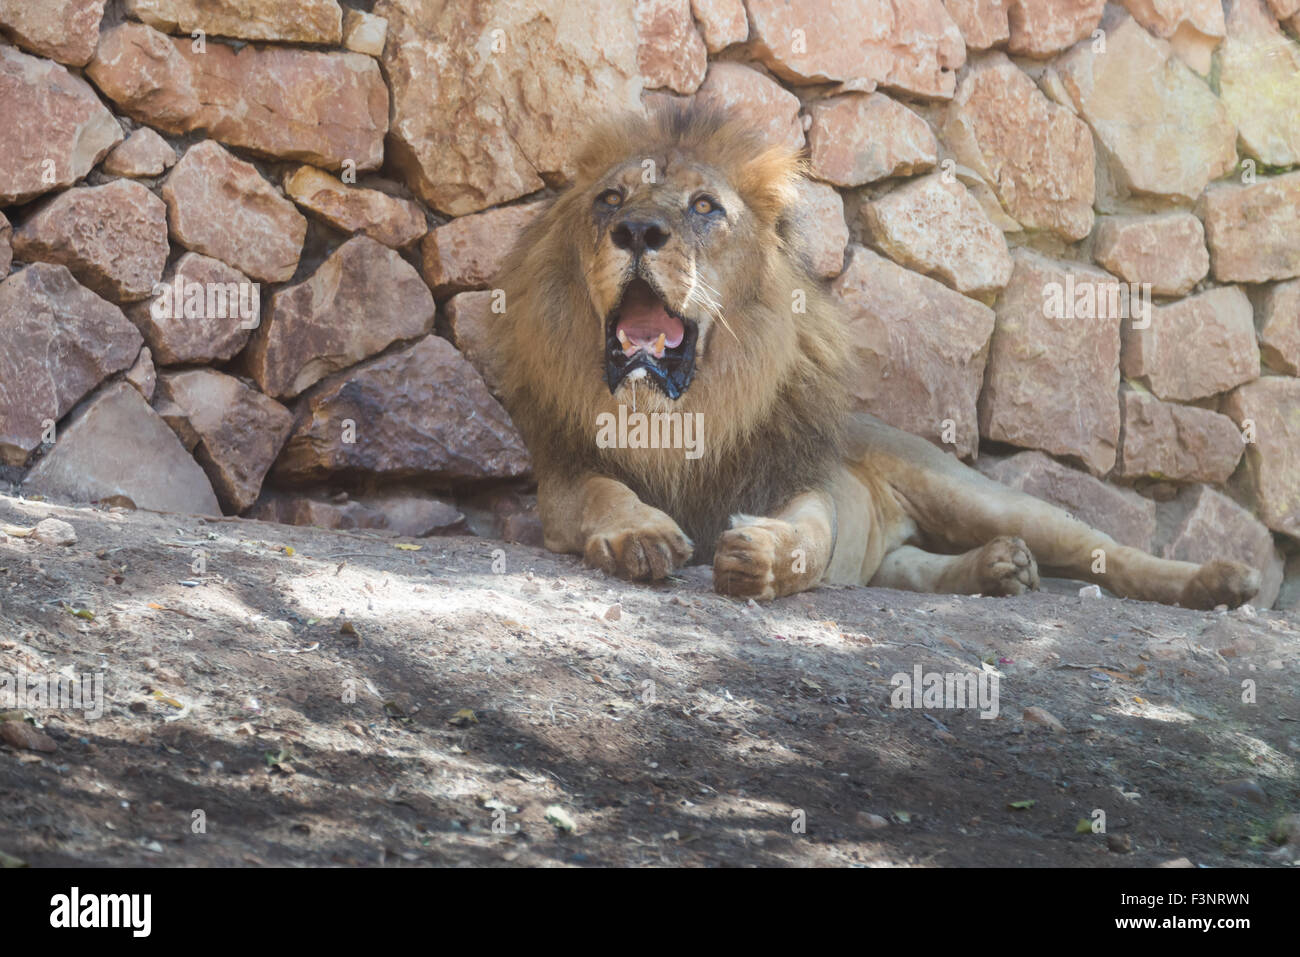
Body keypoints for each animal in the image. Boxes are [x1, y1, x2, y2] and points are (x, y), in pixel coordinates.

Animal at [488, 104, 1258, 608]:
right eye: (610, 199)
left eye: (705, 207)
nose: (639, 230)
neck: (688, 410)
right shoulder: (562, 474)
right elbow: (603, 492)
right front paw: (639, 535)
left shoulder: (803, 475)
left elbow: (810, 532)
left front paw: (761, 556)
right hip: (903, 552)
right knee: (915, 568)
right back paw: (997, 571)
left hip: (978, 495)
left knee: (1107, 552)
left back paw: (1218, 581)